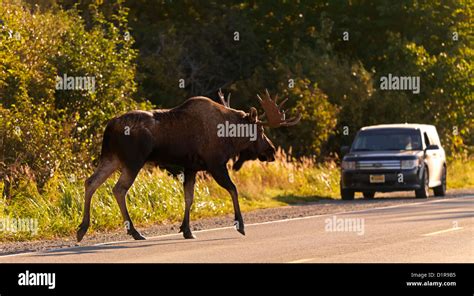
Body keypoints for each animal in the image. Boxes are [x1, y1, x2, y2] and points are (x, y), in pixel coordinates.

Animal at [77, 89, 300, 242]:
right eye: (260, 131)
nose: (271, 151)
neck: (230, 135)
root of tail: (109, 127)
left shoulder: (191, 167)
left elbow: (189, 197)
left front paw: (186, 230)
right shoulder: (215, 164)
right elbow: (233, 189)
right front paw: (240, 225)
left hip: (112, 158)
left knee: (91, 182)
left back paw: (82, 229)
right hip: (133, 161)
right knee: (118, 189)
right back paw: (134, 232)